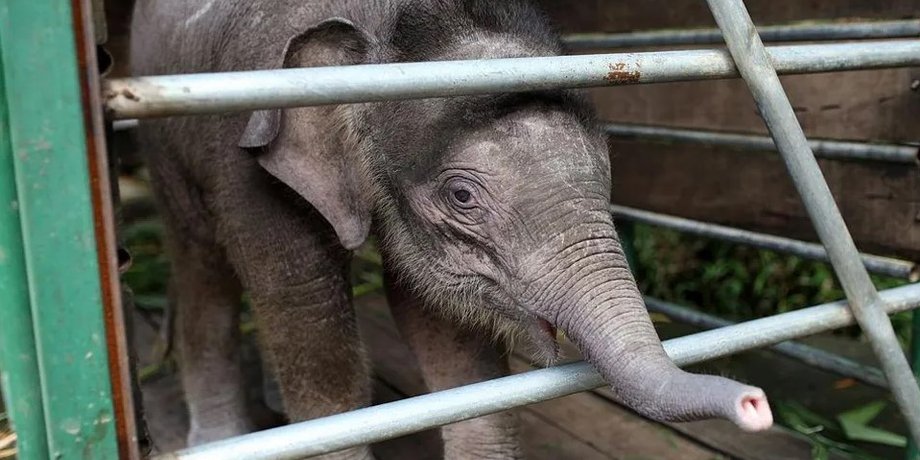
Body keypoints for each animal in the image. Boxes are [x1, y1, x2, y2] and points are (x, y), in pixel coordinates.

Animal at [129, 0, 773, 458]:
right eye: (463, 196)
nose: (755, 404)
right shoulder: (249, 159)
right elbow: (308, 320)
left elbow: (446, 329)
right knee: (202, 264)